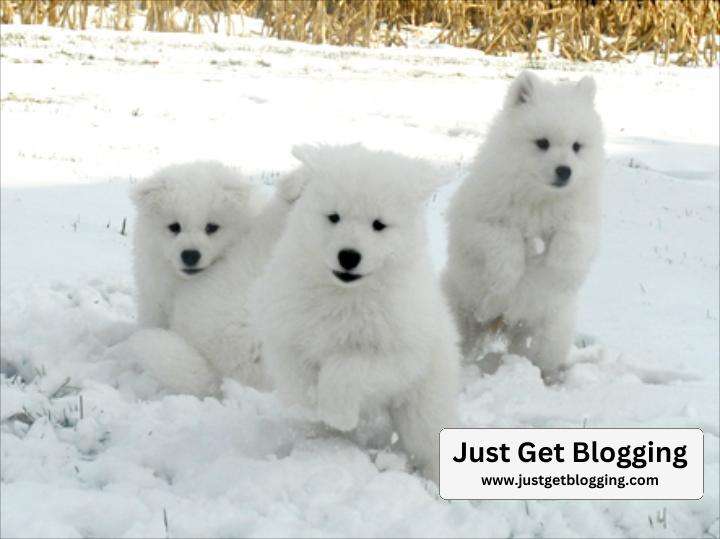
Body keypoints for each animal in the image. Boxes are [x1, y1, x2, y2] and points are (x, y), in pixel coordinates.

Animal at [250, 142, 458, 480]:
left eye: (378, 225)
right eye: (334, 217)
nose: (348, 256)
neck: (344, 295)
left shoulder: (397, 355)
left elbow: (347, 368)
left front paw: (339, 413)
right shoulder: (286, 330)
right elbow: (298, 375)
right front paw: (312, 407)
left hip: (425, 401)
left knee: (430, 441)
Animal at [444, 71, 600, 382]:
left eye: (577, 146)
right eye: (542, 143)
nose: (565, 171)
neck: (539, 198)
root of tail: (501, 324)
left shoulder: (583, 221)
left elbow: (571, 241)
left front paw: (556, 271)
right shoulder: (477, 222)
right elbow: (506, 243)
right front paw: (505, 280)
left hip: (549, 333)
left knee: (538, 357)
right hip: (460, 311)